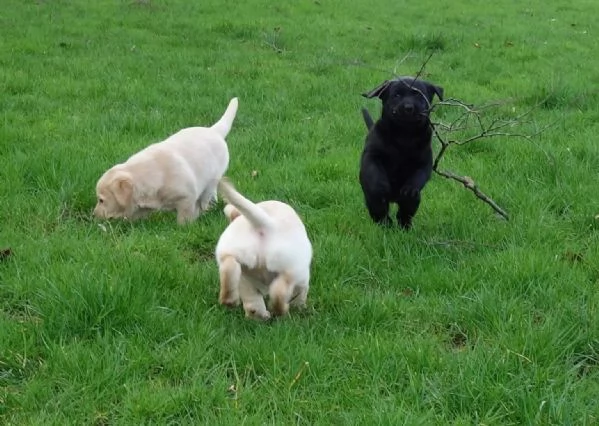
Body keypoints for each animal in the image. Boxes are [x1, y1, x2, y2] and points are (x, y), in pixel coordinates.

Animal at [94, 98, 239, 225]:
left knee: (208, 194)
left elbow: (185, 216)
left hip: (213, 177)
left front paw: (183, 227)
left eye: (101, 200)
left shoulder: (187, 198)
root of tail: (213, 130)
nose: (93, 215)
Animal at [216, 178, 314, 322]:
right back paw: (280, 310)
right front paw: (299, 307)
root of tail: (265, 225)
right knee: (279, 291)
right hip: (290, 268)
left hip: (236, 259)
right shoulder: (302, 279)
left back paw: (230, 301)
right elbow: (300, 293)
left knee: (231, 271)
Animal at [358, 76, 442, 230]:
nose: (408, 107)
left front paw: (410, 189)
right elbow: (374, 172)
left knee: (404, 213)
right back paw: (386, 225)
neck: (404, 135)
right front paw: (381, 185)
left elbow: (419, 175)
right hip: (371, 199)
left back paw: (405, 227)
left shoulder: (424, 162)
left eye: (419, 95)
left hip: (414, 201)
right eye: (396, 95)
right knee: (379, 210)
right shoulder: (372, 155)